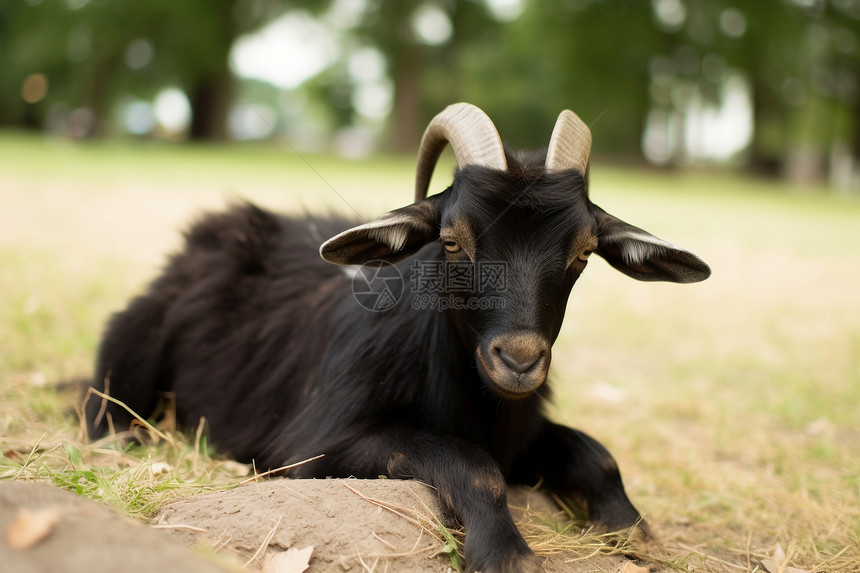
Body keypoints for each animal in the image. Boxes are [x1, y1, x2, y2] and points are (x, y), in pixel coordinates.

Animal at [85, 104, 712, 572]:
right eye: (452, 241)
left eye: (583, 253)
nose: (519, 361)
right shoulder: (315, 442)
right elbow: (471, 461)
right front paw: (506, 553)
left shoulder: (524, 432)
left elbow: (596, 454)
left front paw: (636, 532)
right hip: (130, 350)